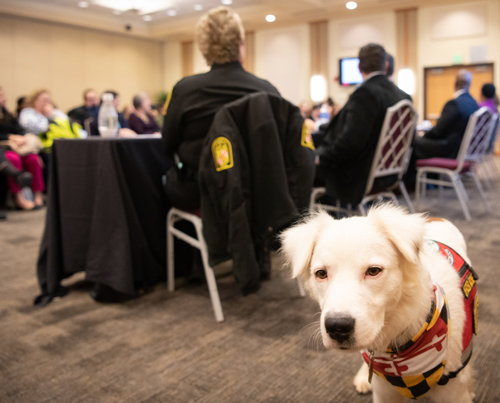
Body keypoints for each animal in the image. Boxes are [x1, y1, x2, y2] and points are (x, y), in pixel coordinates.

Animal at [280, 207, 478, 402]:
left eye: (373, 271)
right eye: (321, 274)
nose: (337, 327)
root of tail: (435, 218)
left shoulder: (454, 391)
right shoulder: (385, 392)